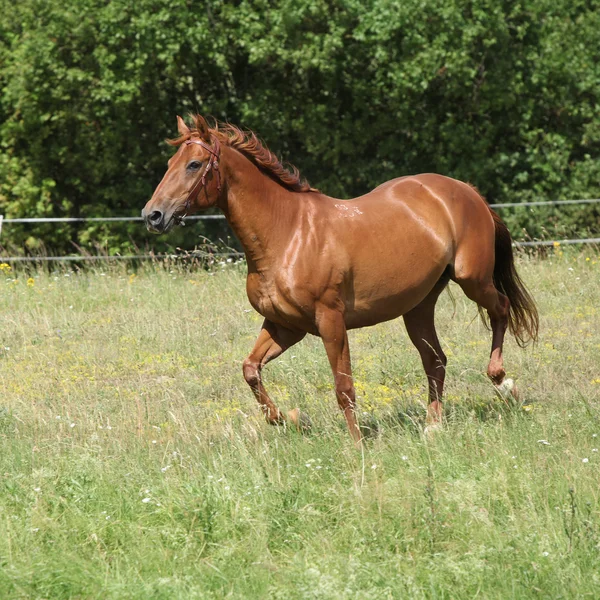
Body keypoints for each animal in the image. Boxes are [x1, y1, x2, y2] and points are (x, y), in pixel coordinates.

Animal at [142, 113, 540, 440]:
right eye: (170, 163)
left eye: (194, 164)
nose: (153, 215)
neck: (286, 234)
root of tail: (466, 190)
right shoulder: (285, 325)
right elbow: (251, 369)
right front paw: (289, 419)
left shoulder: (330, 321)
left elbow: (343, 388)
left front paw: (357, 446)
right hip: (418, 306)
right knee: (436, 360)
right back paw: (433, 427)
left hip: (472, 279)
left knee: (501, 308)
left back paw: (504, 384)